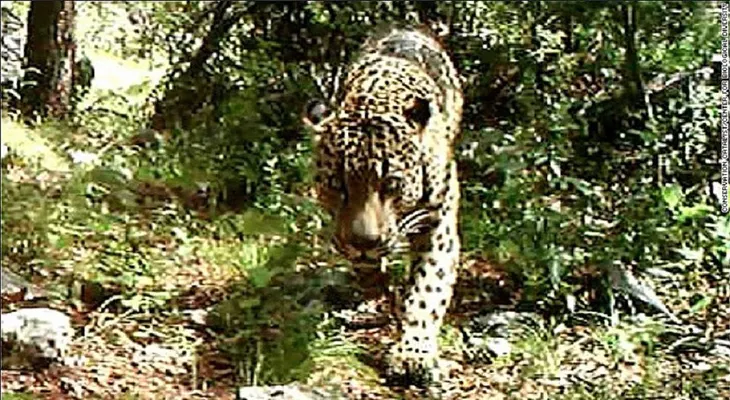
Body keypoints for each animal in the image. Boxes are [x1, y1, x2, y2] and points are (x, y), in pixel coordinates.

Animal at [303, 26, 463, 386]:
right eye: (337, 186)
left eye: (391, 184)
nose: (364, 242)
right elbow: (368, 273)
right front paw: (377, 294)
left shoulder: (438, 222)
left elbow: (428, 287)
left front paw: (413, 353)